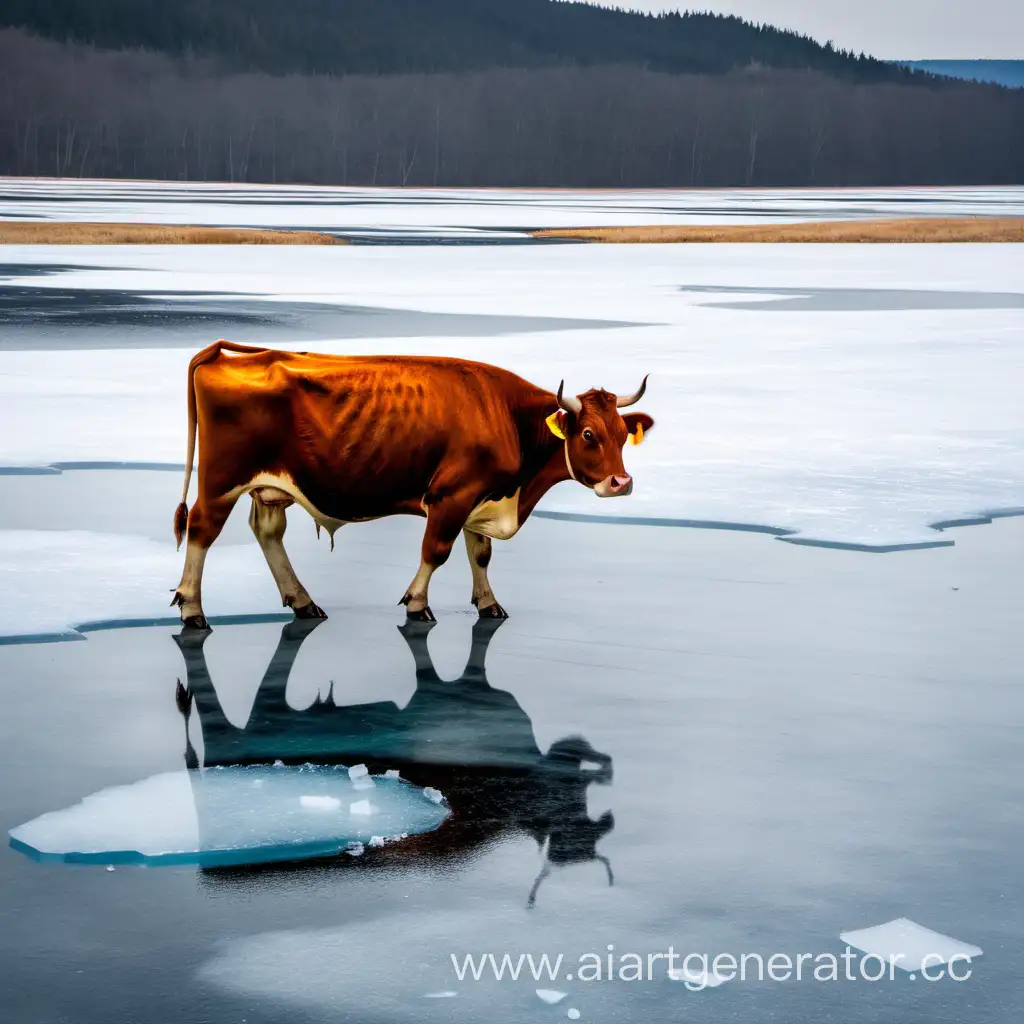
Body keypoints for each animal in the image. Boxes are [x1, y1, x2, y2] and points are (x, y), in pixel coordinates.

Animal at [174, 339, 655, 626]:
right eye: (588, 434)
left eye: (621, 433)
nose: (621, 481)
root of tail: (230, 354)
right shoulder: (451, 495)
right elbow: (436, 552)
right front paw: (418, 603)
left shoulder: (480, 496)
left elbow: (480, 553)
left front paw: (488, 603)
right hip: (220, 481)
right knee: (201, 530)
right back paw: (193, 608)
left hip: (270, 487)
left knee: (268, 531)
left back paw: (303, 601)